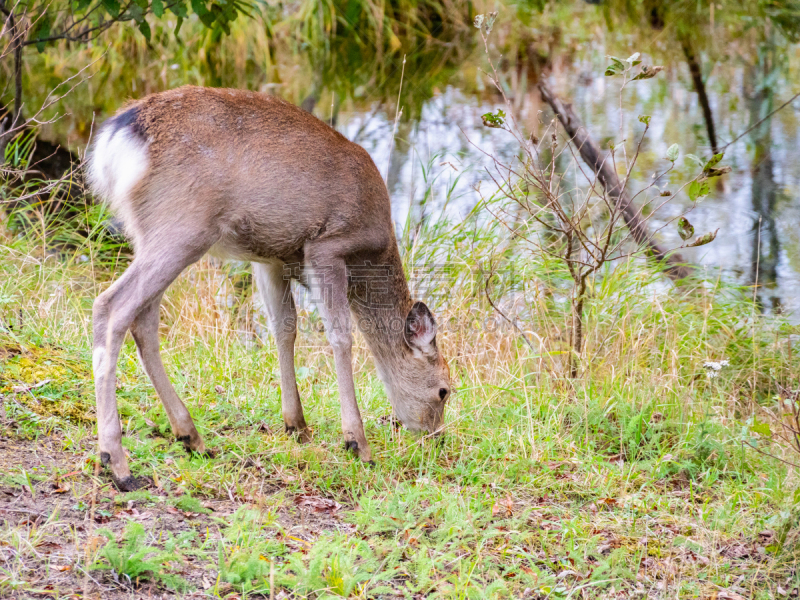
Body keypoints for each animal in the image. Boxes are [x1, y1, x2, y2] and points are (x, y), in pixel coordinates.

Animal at [88, 86, 454, 490]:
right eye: (443, 391)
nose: (436, 438)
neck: (373, 252)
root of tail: (117, 137)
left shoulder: (271, 259)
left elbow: (285, 328)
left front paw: (296, 424)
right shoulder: (327, 245)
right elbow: (341, 336)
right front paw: (357, 443)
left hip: (149, 231)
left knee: (144, 319)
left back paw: (190, 436)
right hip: (183, 224)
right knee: (111, 305)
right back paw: (117, 462)